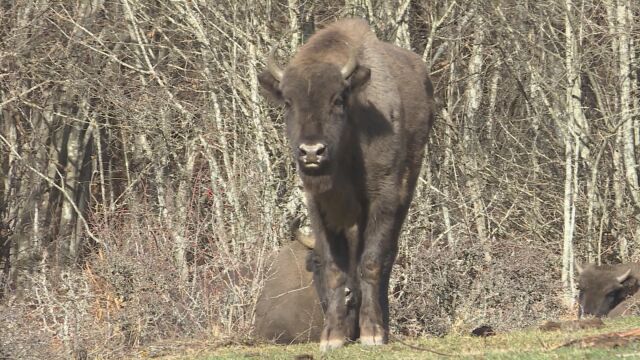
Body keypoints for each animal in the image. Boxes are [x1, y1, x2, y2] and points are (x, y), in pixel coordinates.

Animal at [258, 18, 436, 350]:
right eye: (288, 102)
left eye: (337, 99)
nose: (311, 151)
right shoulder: (319, 207)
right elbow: (335, 269)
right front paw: (333, 337)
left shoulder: (383, 198)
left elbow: (372, 261)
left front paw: (373, 333)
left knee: (387, 258)